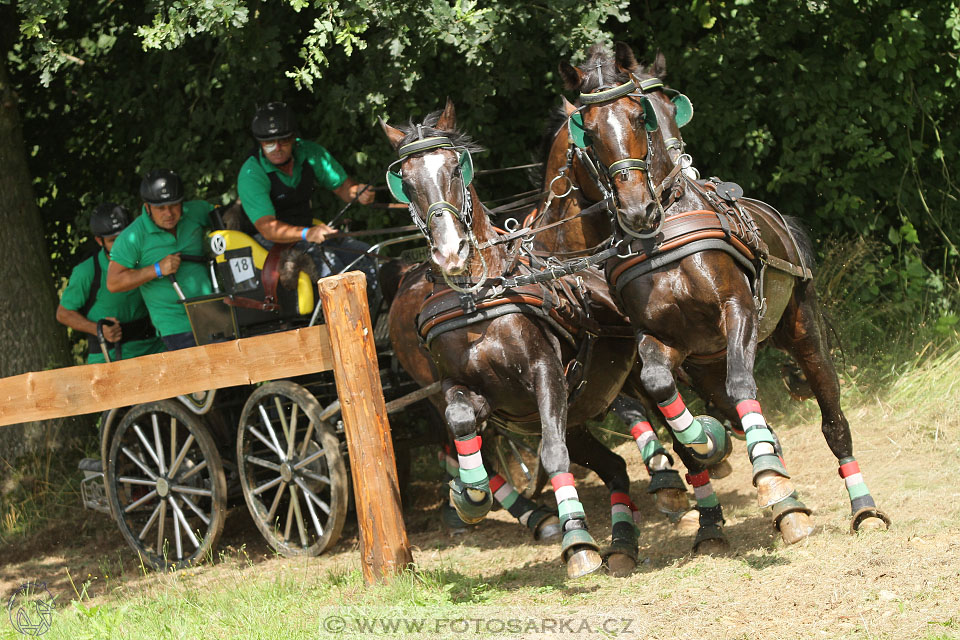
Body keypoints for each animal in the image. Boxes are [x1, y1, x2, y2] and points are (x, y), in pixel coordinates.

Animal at [386, 102, 648, 576]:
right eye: (407, 183)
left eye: (455, 168)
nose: (450, 253)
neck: (478, 298)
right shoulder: (465, 390)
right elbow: (462, 422)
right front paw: (470, 496)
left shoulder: (547, 374)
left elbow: (552, 452)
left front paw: (578, 543)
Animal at [556, 42, 892, 544]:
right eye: (590, 134)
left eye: (638, 116)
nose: (637, 210)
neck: (662, 235)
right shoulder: (660, 340)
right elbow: (662, 387)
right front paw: (705, 440)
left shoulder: (738, 311)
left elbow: (742, 384)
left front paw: (768, 475)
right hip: (705, 365)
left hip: (803, 334)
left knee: (833, 421)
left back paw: (862, 507)